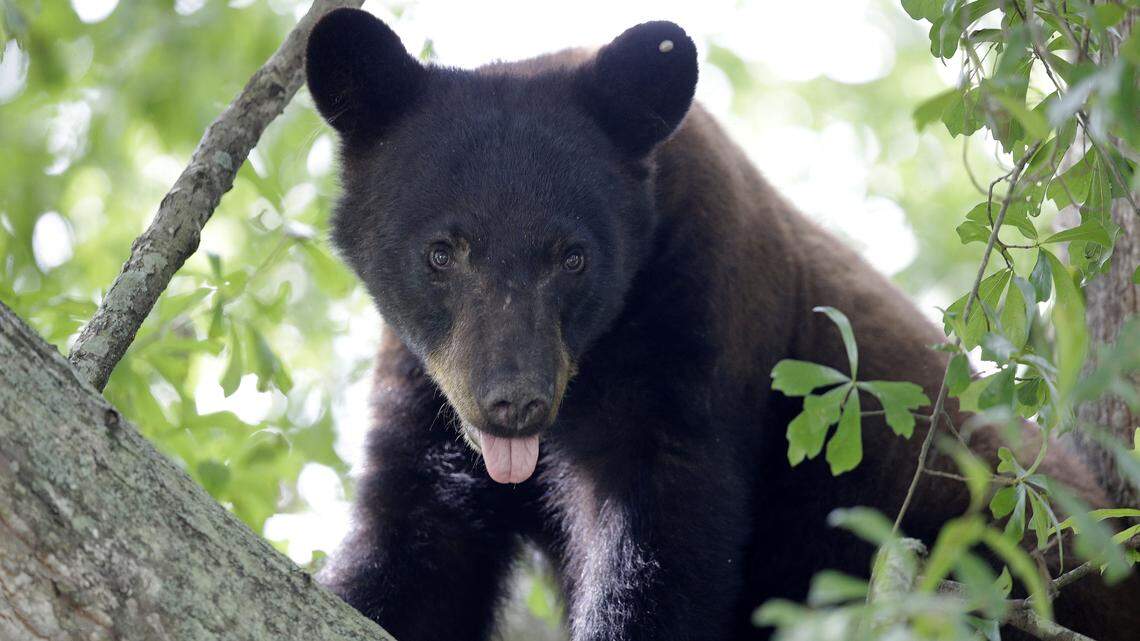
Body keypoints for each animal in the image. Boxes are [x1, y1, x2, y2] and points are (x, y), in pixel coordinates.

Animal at [303, 9, 1140, 641]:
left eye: (573, 256)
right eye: (441, 251)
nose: (514, 400)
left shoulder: (698, 322)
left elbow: (663, 540)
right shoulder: (427, 387)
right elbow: (415, 541)